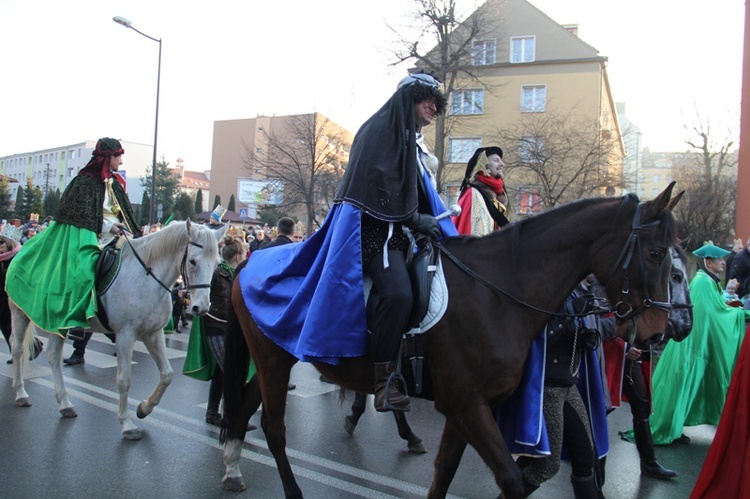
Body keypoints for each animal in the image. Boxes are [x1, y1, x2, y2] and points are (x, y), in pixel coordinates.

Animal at [9, 221, 226, 440]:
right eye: (192, 261)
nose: (201, 307)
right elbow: (124, 379)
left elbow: (167, 374)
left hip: (56, 323)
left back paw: (65, 404)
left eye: (217, 263)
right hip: (20, 312)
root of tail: (23, 250)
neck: (147, 277)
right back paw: (20, 393)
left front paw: (144, 408)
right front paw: (127, 423)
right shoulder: (125, 335)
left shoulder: (153, 333)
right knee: (17, 348)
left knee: (53, 355)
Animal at [222, 185, 680, 499]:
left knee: (244, 408)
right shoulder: (464, 403)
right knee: (274, 428)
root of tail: (250, 260)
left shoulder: (470, 405)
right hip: (273, 361)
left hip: (273, 361)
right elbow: (511, 480)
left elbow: (444, 472)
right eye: (657, 254)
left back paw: (232, 470)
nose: (662, 329)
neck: (497, 290)